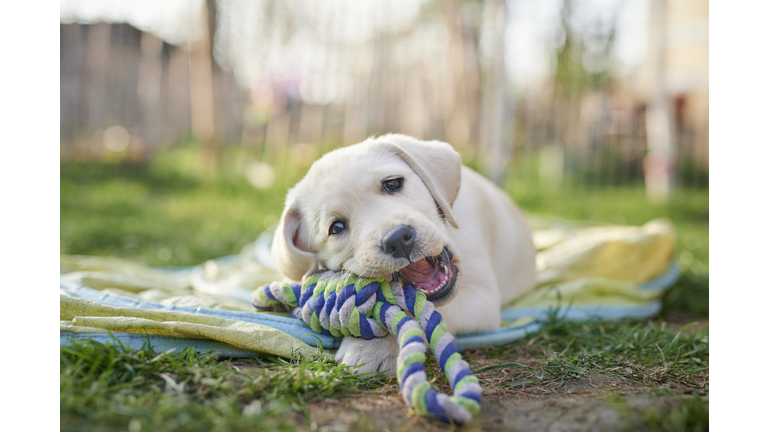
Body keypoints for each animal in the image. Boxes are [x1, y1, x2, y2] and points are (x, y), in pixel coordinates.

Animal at [274, 134, 536, 374]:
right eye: (336, 227)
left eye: (392, 184)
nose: (398, 240)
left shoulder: (483, 299)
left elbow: (416, 312)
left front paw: (373, 348)